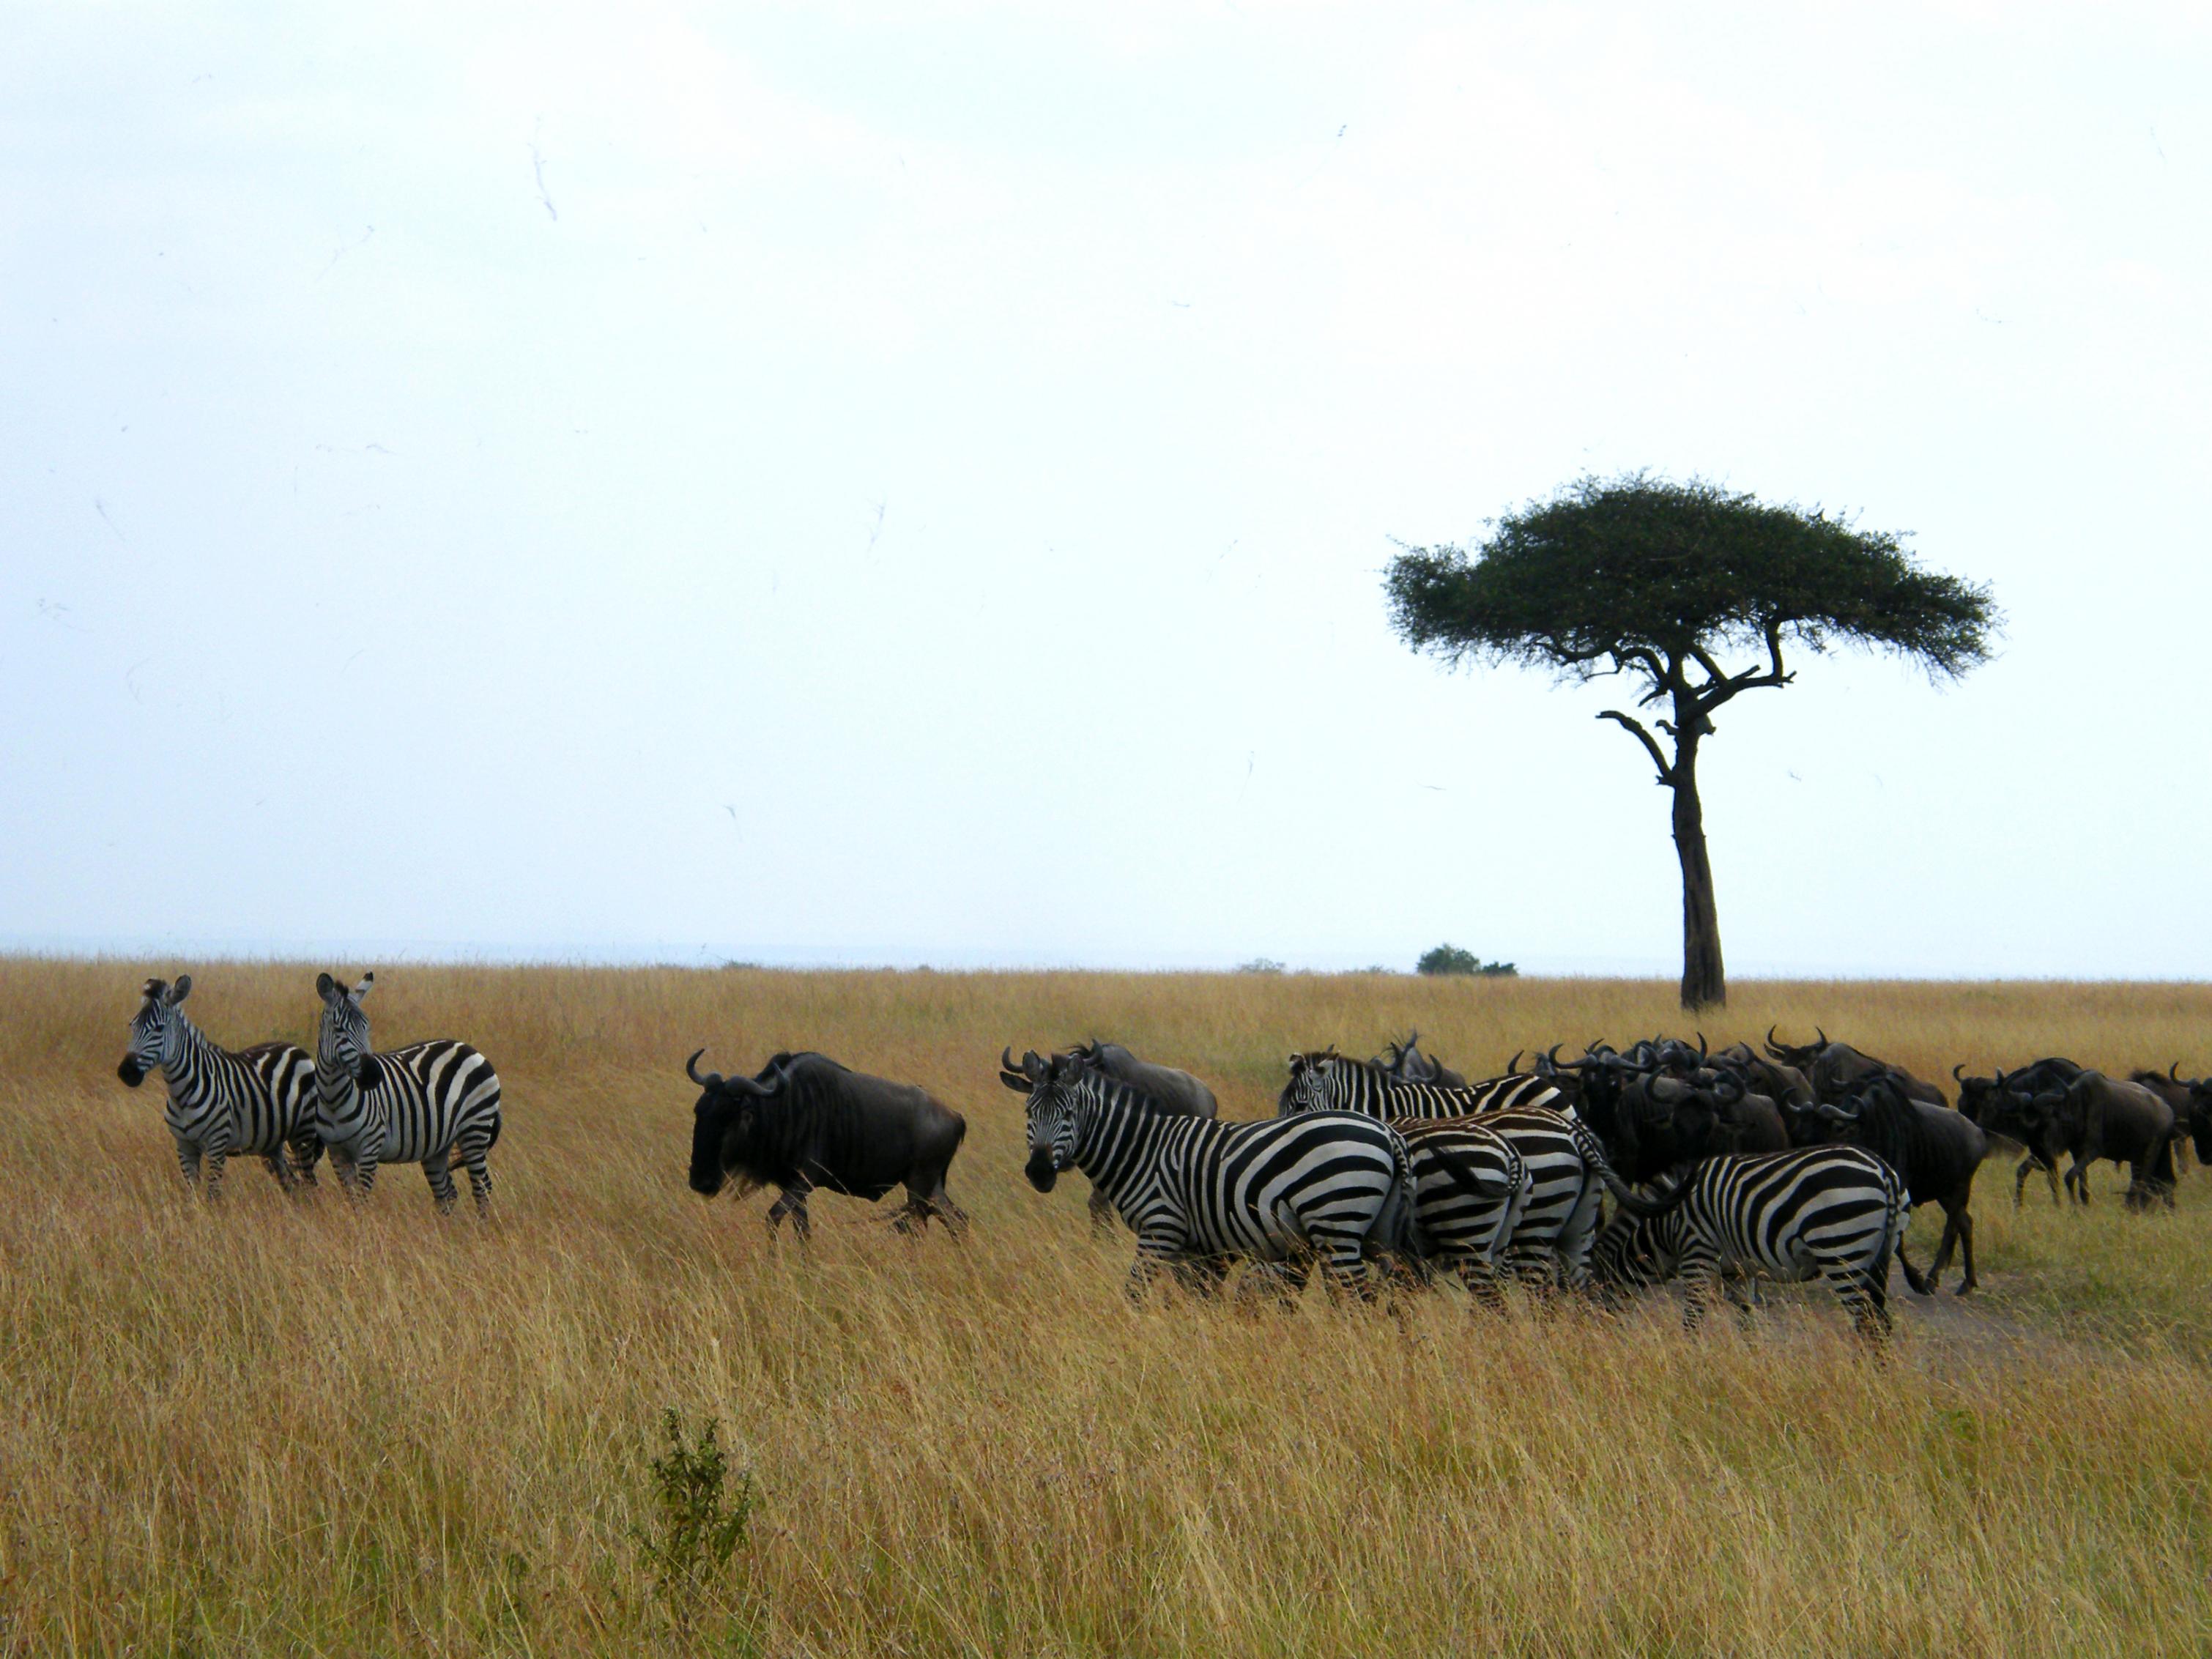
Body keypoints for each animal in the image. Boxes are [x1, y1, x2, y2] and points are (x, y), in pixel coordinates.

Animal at [114, 973, 320, 1194]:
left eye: (159, 1029)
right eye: (132, 1026)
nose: (126, 1072)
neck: (182, 1094)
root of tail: (294, 1048)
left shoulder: (217, 1143)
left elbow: (213, 1193)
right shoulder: (184, 1146)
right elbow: (193, 1193)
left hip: (303, 1132)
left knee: (310, 1183)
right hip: (272, 1142)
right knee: (290, 1185)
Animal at [311, 968, 502, 1211]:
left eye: (367, 1027)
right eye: (338, 1029)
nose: (373, 1075)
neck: (333, 1098)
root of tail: (469, 1048)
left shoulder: (370, 1148)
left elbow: (362, 1201)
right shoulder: (337, 1153)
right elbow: (352, 1200)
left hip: (475, 1129)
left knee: (482, 1189)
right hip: (439, 1146)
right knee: (446, 1193)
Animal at [1013, 1053, 1424, 1300]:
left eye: (1069, 1115)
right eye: (1029, 1112)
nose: (1039, 1172)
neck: (1140, 1149)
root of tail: (1387, 1132)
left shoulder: (1161, 1228)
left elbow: (1136, 1294)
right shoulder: (1195, 1247)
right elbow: (1194, 1301)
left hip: (1337, 1223)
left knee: (1359, 1297)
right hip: (1376, 1233)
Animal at [1584, 1150, 1929, 1345]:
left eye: (1596, 1298)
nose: (1596, 1341)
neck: (1664, 1224)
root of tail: (1884, 1173)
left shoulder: (1698, 1252)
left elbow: (1693, 1317)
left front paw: (1687, 1359)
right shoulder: (1737, 1269)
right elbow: (1746, 1320)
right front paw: (1750, 1359)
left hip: (1841, 1251)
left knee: (1867, 1323)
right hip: (1878, 1255)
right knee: (1879, 1323)